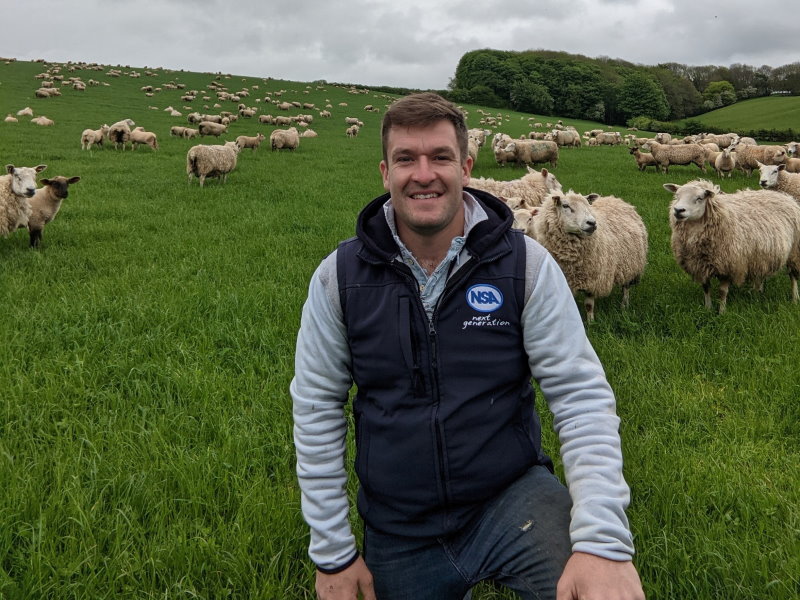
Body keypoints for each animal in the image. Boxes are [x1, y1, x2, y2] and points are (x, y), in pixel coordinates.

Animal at [524, 192, 648, 324]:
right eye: (565, 206)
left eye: (587, 205)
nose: (592, 223)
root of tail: (617, 200)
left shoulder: (593, 279)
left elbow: (589, 305)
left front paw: (591, 323)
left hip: (630, 265)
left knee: (626, 288)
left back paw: (624, 306)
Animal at [664, 179, 800, 314]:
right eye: (677, 196)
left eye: (699, 198)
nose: (678, 210)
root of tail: (784, 196)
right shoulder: (700, 265)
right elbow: (706, 288)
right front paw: (707, 308)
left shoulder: (728, 266)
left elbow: (722, 292)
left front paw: (721, 312)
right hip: (763, 254)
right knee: (761, 272)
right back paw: (758, 292)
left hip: (794, 251)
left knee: (793, 276)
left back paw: (794, 298)